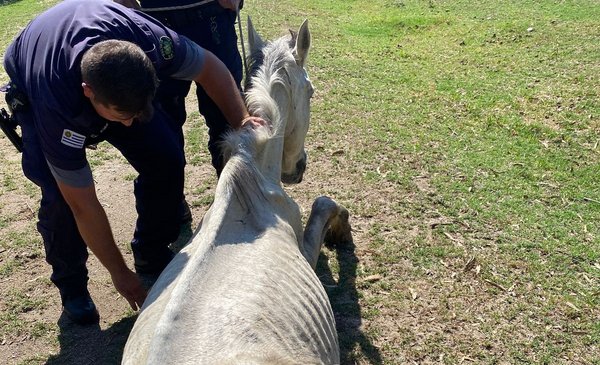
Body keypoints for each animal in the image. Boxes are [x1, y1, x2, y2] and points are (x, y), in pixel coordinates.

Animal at [122, 17, 352, 364]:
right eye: (311, 91)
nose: (297, 168)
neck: (251, 175)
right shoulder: (305, 248)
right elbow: (324, 205)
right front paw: (342, 233)